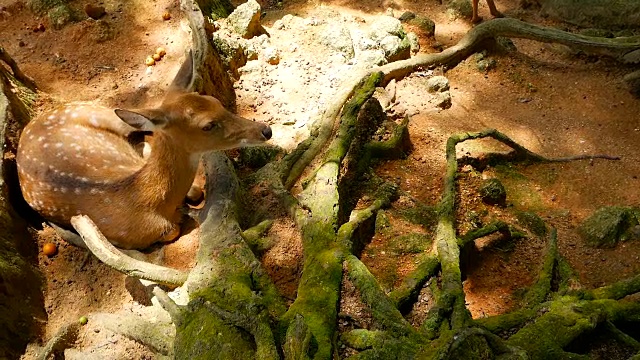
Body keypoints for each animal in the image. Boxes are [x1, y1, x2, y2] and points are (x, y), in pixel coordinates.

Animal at [16, 50, 272, 249]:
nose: (265, 130)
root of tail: (30, 124)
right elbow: (173, 229)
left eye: (215, 102)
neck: (150, 202)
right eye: (207, 125)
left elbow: (196, 190)